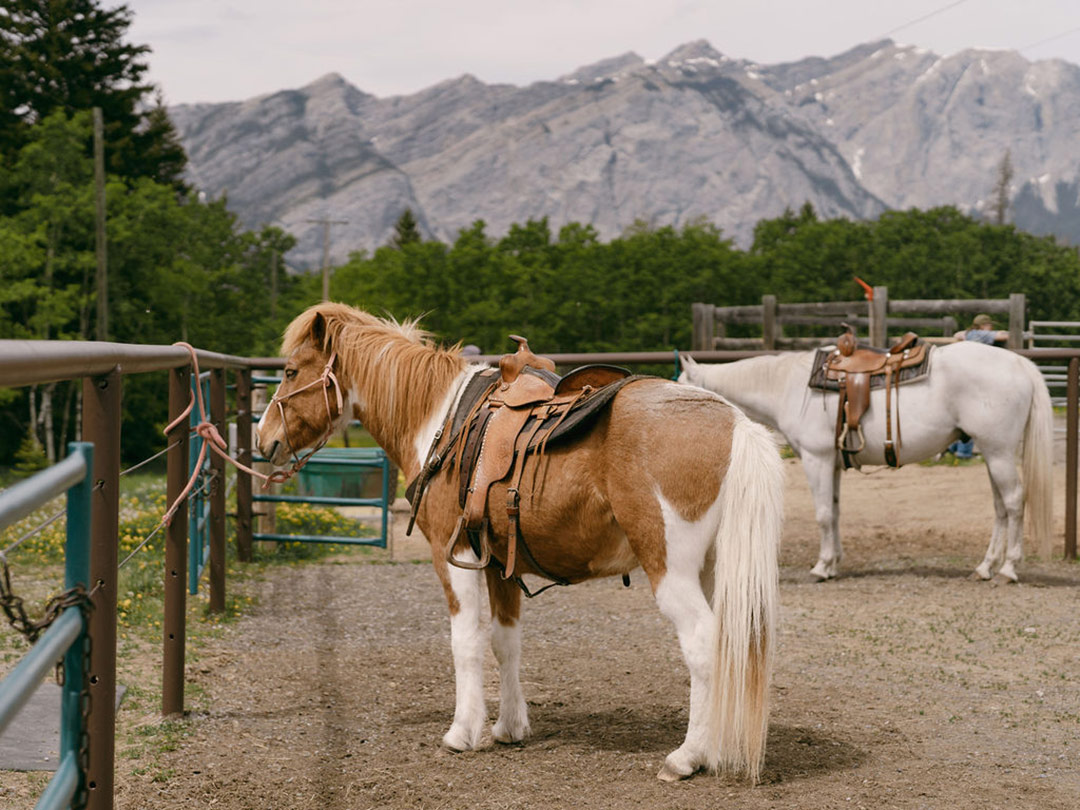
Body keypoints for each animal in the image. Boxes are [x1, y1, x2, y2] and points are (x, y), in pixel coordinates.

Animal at [255, 303, 784, 782]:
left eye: (290, 371)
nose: (264, 441)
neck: (440, 420)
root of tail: (736, 424)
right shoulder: (497, 565)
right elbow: (504, 642)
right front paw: (509, 728)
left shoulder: (453, 558)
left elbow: (466, 642)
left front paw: (462, 732)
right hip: (713, 569)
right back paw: (713, 750)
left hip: (671, 569)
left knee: (703, 645)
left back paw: (687, 758)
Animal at [679, 340, 1053, 583]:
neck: (786, 387)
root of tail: (1020, 363)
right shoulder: (831, 464)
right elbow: (835, 511)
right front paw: (834, 563)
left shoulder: (816, 459)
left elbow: (823, 514)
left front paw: (821, 567)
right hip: (992, 453)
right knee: (1000, 507)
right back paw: (985, 567)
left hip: (999, 452)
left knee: (1014, 502)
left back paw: (1008, 569)